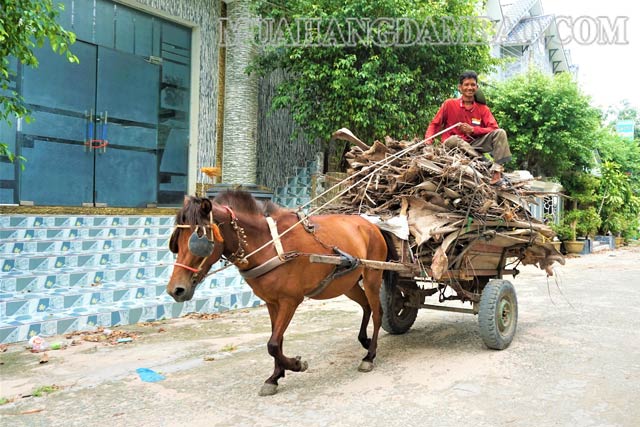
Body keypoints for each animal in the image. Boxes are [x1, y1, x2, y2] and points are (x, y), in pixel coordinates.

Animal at [165, 192, 388, 396]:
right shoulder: (272, 302)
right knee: (366, 306)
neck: (269, 245)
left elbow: (272, 344)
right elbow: (277, 341)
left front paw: (296, 365)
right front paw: (275, 377)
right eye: (175, 241)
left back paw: (369, 356)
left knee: (378, 313)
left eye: (198, 239)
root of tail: (371, 225)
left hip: (372, 277)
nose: (176, 290)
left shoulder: (290, 301)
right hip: (347, 283)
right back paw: (364, 341)